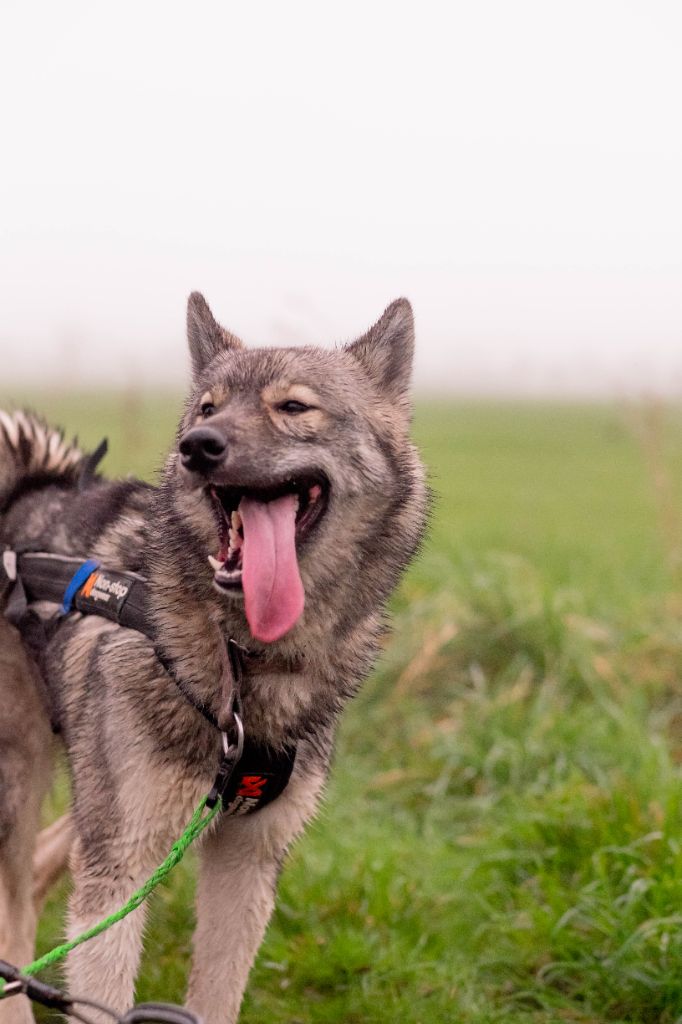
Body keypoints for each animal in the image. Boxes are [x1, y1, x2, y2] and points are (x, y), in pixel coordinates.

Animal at [0, 292, 425, 1019]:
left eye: (294, 407)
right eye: (206, 409)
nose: (197, 446)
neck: (241, 664)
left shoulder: (247, 861)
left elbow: (217, 998)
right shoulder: (120, 866)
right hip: (18, 777)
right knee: (12, 907)